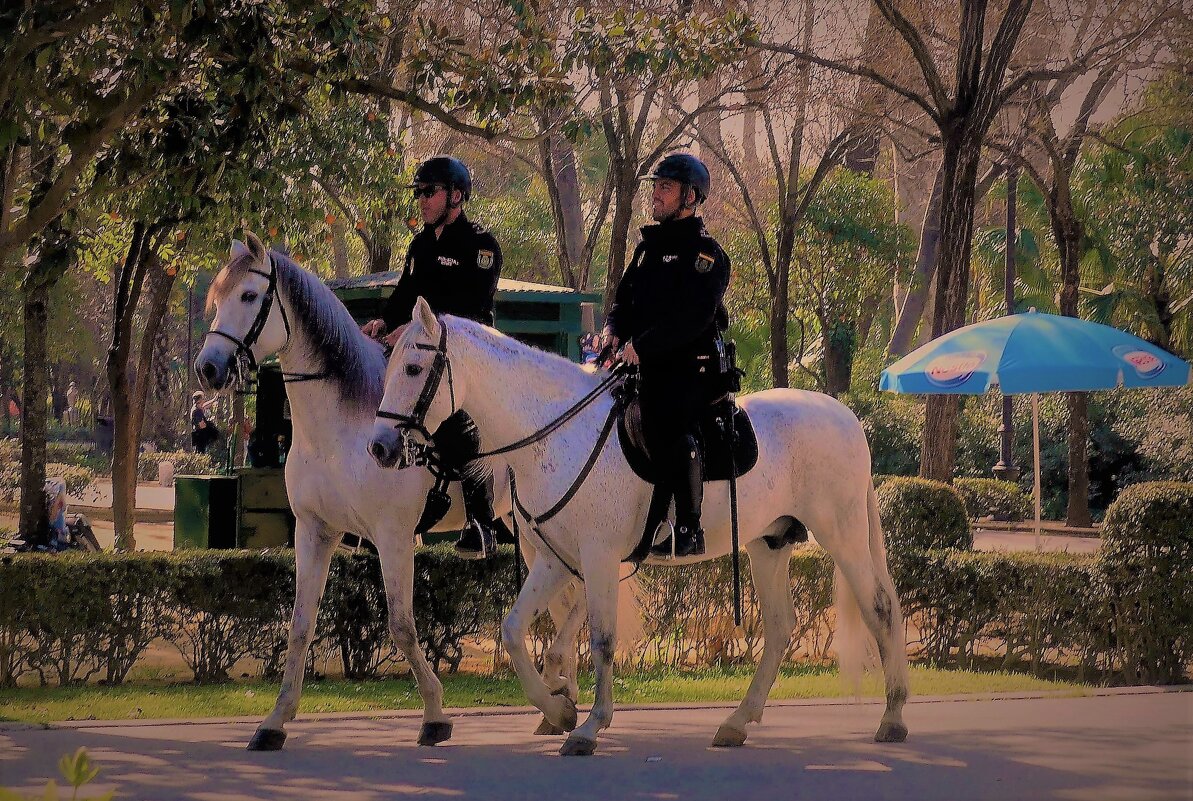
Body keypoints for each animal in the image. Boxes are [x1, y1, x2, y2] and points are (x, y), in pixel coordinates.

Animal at [196, 233, 586, 754]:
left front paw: (435, 715)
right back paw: (559, 699)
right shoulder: (314, 532)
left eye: (248, 296)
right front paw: (275, 721)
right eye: (217, 298)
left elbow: (401, 625)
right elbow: (300, 625)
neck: (342, 427)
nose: (207, 368)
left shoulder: (394, 537)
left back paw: (560, 697)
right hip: (532, 529)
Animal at [367, 300, 906, 759]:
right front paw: (559, 710)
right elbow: (515, 631)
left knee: (878, 608)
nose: (379, 448)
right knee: (779, 627)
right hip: (768, 544)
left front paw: (589, 726)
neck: (556, 433)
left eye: (412, 369)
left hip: (842, 535)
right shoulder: (554, 561)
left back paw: (893, 716)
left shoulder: (598, 557)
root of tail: (844, 415)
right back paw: (736, 721)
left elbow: (602, 640)